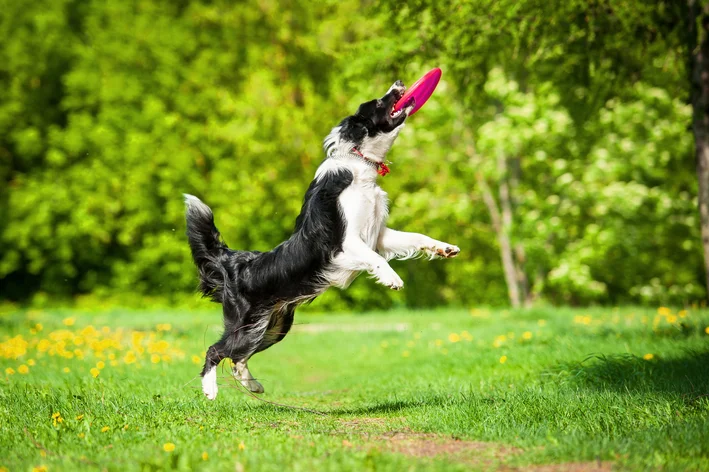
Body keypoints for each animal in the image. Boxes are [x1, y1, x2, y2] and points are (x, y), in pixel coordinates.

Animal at [184, 80, 460, 398]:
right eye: (379, 102)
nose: (400, 83)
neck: (358, 164)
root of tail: (234, 263)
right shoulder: (346, 243)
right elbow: (376, 260)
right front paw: (393, 279)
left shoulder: (378, 235)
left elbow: (415, 237)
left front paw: (445, 248)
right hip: (247, 323)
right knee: (216, 350)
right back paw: (210, 390)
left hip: (274, 326)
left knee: (238, 357)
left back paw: (253, 385)